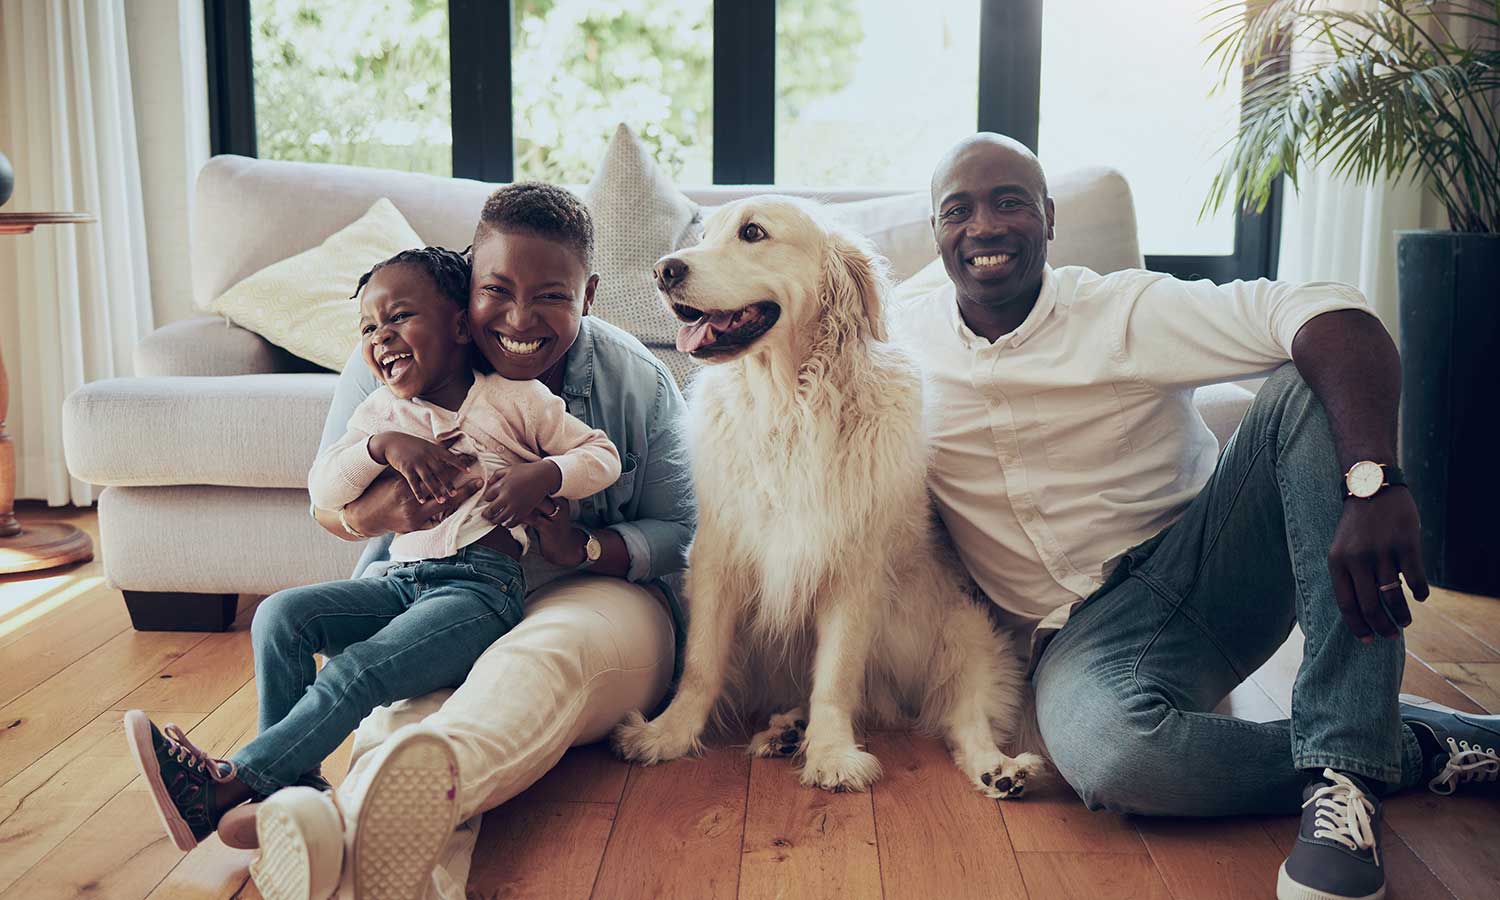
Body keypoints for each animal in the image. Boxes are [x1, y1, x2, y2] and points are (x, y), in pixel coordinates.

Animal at [609, 195, 1044, 792]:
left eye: (752, 233)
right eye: (704, 235)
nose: (663, 270)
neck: (789, 403)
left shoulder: (855, 565)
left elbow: (836, 678)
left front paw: (832, 754)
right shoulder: (718, 553)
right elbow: (700, 663)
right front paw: (666, 734)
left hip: (966, 633)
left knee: (965, 718)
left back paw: (999, 770)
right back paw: (786, 730)